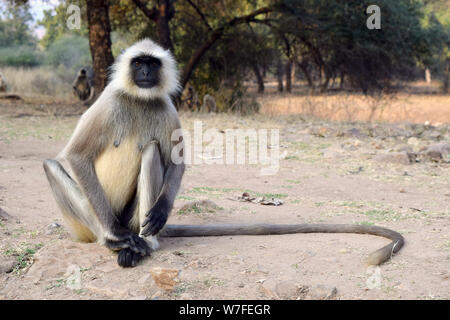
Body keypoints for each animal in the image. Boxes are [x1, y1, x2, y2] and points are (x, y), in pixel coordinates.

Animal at [44, 38, 404, 268]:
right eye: (138, 64)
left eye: (152, 64)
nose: (145, 73)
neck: (140, 100)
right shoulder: (108, 102)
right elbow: (75, 156)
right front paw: (115, 236)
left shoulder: (167, 108)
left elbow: (176, 163)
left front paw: (161, 211)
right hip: (87, 227)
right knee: (52, 165)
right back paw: (117, 241)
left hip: (135, 218)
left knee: (151, 151)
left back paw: (145, 244)